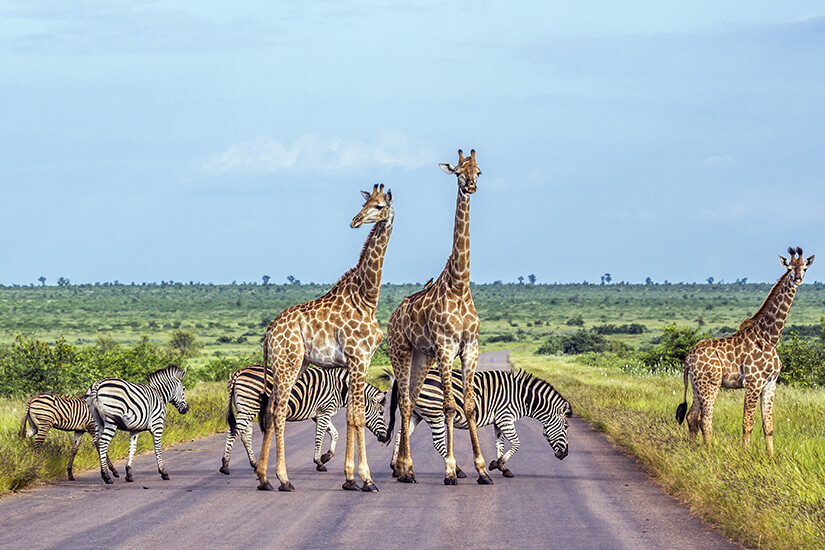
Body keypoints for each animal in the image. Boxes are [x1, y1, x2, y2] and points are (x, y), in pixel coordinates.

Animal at [217, 364, 388, 476]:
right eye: (381, 413)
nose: (386, 438)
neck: (340, 389)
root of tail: (238, 372)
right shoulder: (324, 411)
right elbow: (320, 437)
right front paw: (319, 462)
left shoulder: (318, 414)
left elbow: (335, 434)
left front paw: (326, 457)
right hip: (249, 406)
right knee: (234, 432)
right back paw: (225, 465)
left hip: (246, 407)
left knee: (245, 435)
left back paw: (254, 463)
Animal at [256, 183, 394, 494]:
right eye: (366, 203)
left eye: (379, 206)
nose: (355, 221)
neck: (367, 298)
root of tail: (269, 333)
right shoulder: (359, 358)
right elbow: (357, 415)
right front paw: (366, 479)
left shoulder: (355, 362)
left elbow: (351, 415)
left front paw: (350, 479)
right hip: (288, 363)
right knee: (278, 411)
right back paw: (284, 479)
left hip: (295, 365)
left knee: (269, 409)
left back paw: (263, 478)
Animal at [384, 148, 492, 488]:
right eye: (458, 171)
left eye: (478, 171)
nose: (471, 186)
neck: (459, 285)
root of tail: (393, 317)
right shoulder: (446, 348)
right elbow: (448, 406)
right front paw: (450, 471)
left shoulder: (470, 347)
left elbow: (468, 406)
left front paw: (482, 470)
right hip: (401, 351)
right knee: (406, 403)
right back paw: (406, 468)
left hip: (423, 357)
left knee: (410, 401)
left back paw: (405, 468)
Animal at [388, 368, 568, 480]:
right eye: (566, 427)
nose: (565, 455)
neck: (522, 398)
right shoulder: (505, 417)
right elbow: (516, 443)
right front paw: (498, 464)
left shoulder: (499, 421)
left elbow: (500, 444)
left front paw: (502, 467)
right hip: (434, 413)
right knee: (438, 443)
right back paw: (458, 471)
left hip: (417, 413)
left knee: (400, 435)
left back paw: (395, 468)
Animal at [672, 248, 816, 454]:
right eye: (789, 268)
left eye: (804, 268)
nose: (797, 278)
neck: (770, 337)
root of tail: (688, 357)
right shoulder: (753, 383)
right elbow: (747, 423)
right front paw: (745, 454)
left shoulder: (770, 384)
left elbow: (768, 425)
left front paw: (770, 457)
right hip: (711, 383)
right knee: (705, 419)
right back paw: (709, 450)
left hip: (696, 383)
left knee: (692, 416)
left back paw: (693, 449)